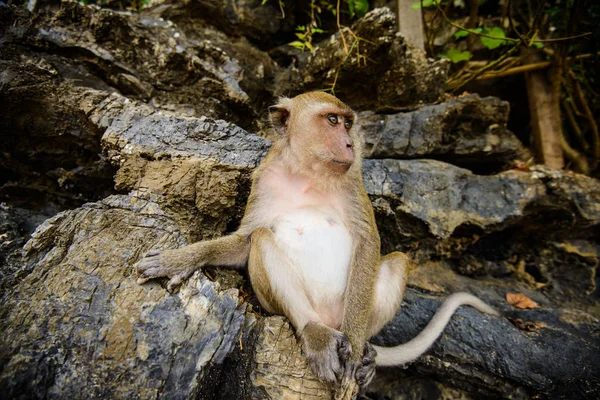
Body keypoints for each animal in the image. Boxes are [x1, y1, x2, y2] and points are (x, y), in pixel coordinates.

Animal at [136, 90, 496, 394]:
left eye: (348, 123)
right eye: (332, 120)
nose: (350, 144)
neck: (308, 173)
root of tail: (329, 320)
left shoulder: (353, 181)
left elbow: (368, 243)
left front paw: (356, 353)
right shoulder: (263, 179)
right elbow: (245, 241)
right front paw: (181, 259)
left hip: (350, 311)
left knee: (395, 262)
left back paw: (365, 354)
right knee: (263, 240)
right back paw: (316, 334)